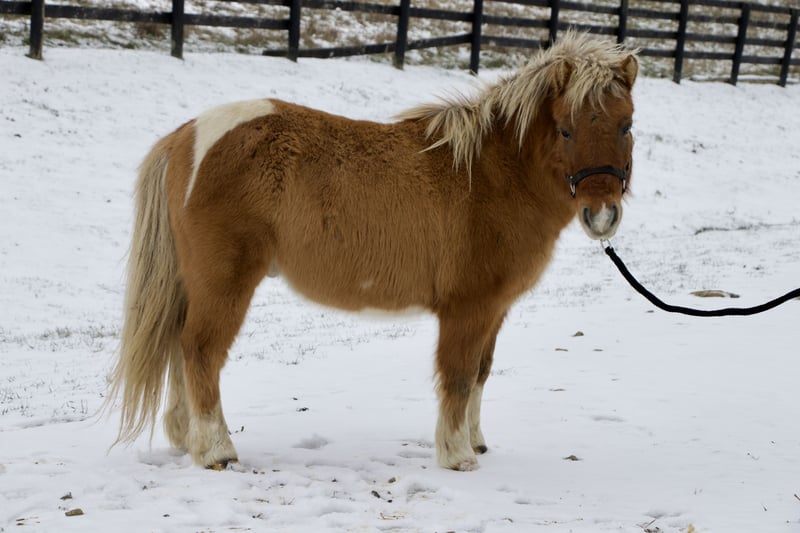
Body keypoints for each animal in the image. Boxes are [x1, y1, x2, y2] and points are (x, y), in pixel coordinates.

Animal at [110, 31, 638, 472]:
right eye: (566, 129)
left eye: (626, 124)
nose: (602, 215)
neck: (488, 174)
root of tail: (187, 134)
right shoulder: (467, 309)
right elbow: (459, 375)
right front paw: (457, 455)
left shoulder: (494, 310)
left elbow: (481, 374)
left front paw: (476, 441)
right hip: (225, 282)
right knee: (200, 350)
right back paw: (216, 450)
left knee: (180, 348)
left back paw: (187, 438)